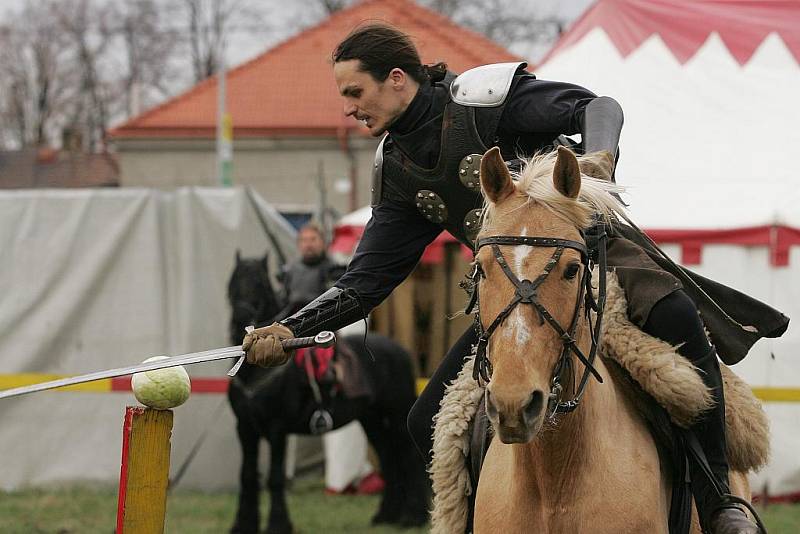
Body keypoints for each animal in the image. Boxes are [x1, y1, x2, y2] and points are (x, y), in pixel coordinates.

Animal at [225, 252, 428, 534]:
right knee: (388, 459)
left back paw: (413, 517)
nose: (238, 323)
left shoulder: (277, 428)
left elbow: (275, 478)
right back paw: (386, 515)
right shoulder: (245, 428)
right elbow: (247, 476)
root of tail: (401, 352)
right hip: (372, 420)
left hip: (397, 417)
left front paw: (278, 524)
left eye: (259, 283)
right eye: (232, 283)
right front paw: (243, 525)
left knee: (408, 459)